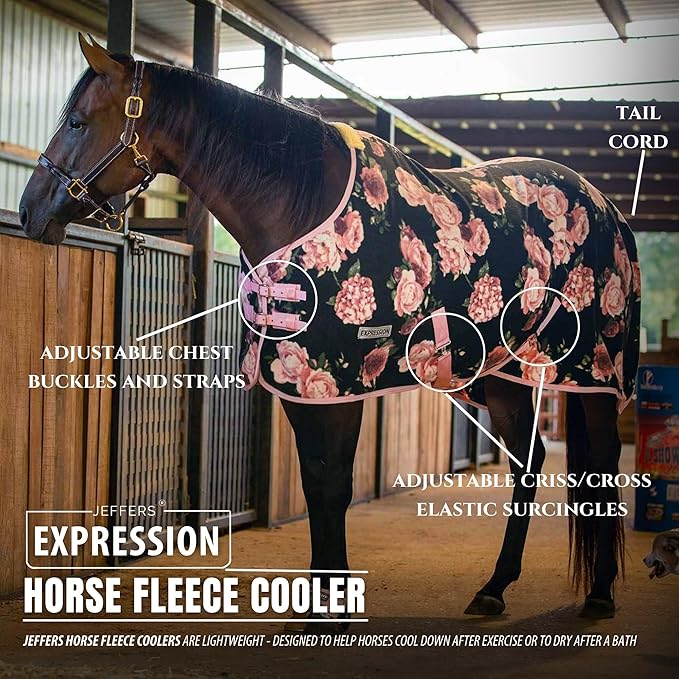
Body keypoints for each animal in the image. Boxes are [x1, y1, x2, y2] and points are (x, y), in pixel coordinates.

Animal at [20, 35, 640, 629]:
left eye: (78, 122)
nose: (29, 212)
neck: (302, 203)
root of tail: (608, 209)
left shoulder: (342, 383)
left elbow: (336, 485)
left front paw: (336, 600)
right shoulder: (300, 387)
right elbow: (316, 484)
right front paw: (321, 599)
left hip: (594, 370)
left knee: (604, 463)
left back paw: (602, 594)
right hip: (507, 375)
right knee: (528, 464)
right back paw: (494, 588)